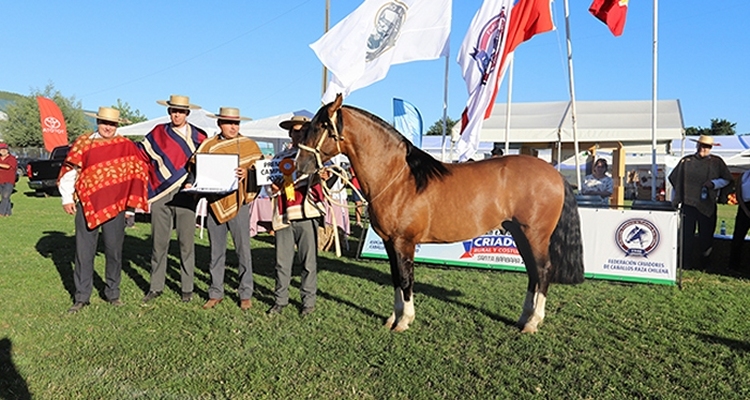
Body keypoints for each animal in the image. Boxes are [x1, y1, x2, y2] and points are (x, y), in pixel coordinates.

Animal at [296, 95, 584, 332]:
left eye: (321, 126)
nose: (299, 165)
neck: (399, 177)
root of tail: (554, 174)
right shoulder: (390, 243)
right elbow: (396, 278)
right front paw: (393, 317)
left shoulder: (403, 242)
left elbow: (406, 278)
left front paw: (404, 321)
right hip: (519, 234)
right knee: (533, 273)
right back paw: (524, 318)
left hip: (535, 235)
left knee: (543, 271)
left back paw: (533, 322)